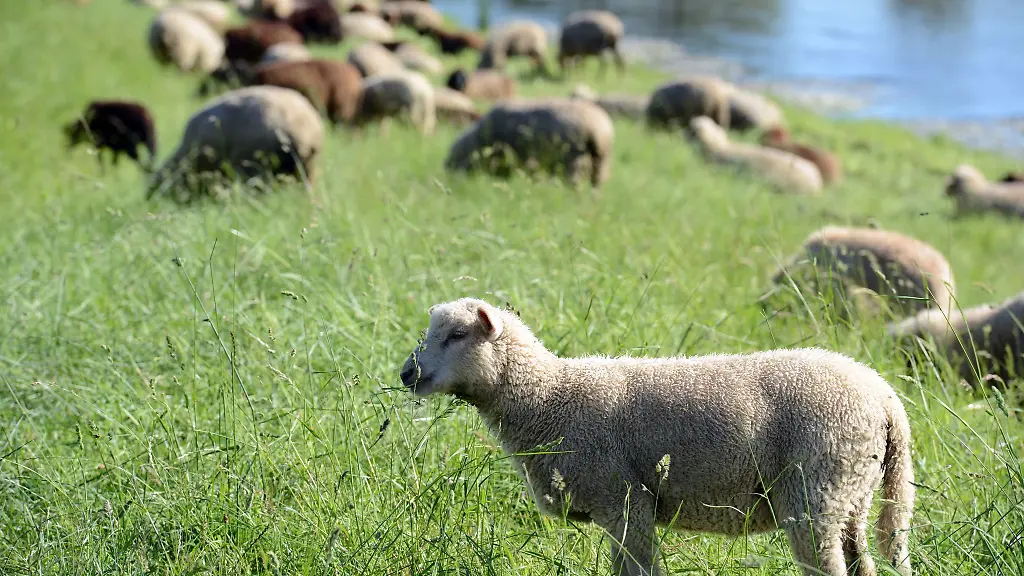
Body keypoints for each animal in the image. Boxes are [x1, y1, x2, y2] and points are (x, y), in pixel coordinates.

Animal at [399, 297, 915, 576]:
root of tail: (885, 397)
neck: (549, 397)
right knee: (862, 563)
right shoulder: (618, 506)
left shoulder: (624, 499)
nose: (407, 373)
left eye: (458, 334)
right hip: (850, 494)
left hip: (817, 489)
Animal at [444, 98, 615, 188]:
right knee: (596, 186)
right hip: (600, 163)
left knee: (575, 185)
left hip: (573, 161)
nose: (448, 173)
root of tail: (597, 128)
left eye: (456, 157)